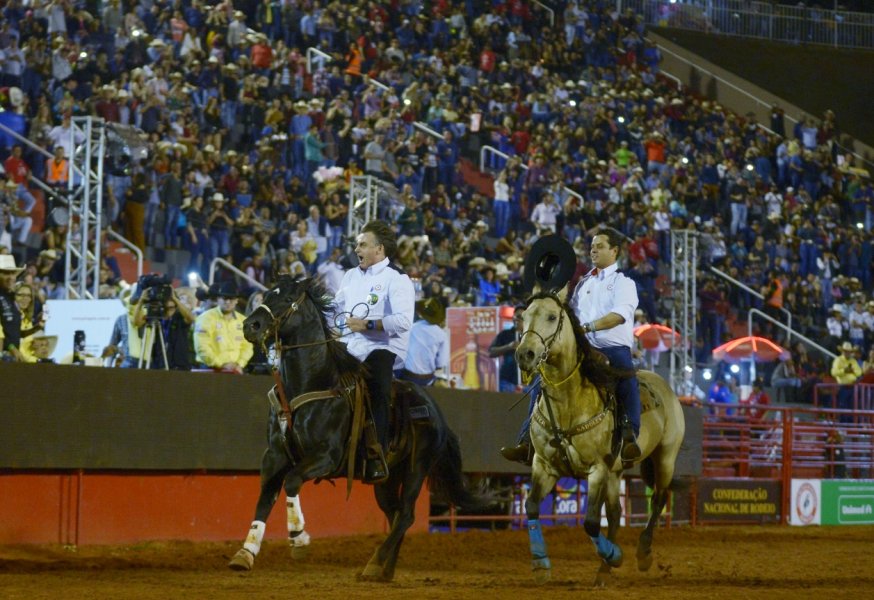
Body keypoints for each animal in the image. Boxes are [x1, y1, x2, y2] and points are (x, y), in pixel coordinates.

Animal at [228, 276, 480, 580]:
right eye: (266, 295)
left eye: (287, 299)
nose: (250, 326)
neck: (313, 384)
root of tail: (437, 413)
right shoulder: (275, 456)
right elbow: (265, 498)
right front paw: (245, 553)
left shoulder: (326, 456)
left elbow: (291, 482)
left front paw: (298, 538)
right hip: (386, 478)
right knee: (396, 515)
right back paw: (384, 570)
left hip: (416, 468)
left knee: (407, 514)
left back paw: (375, 562)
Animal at [516, 290, 684, 584]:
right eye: (524, 316)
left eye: (551, 316)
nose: (525, 354)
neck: (569, 402)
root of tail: (667, 388)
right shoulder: (544, 466)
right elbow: (532, 506)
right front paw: (540, 562)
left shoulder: (597, 468)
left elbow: (592, 522)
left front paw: (615, 556)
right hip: (617, 471)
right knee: (616, 513)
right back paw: (604, 570)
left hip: (665, 457)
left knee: (659, 499)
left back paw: (642, 553)